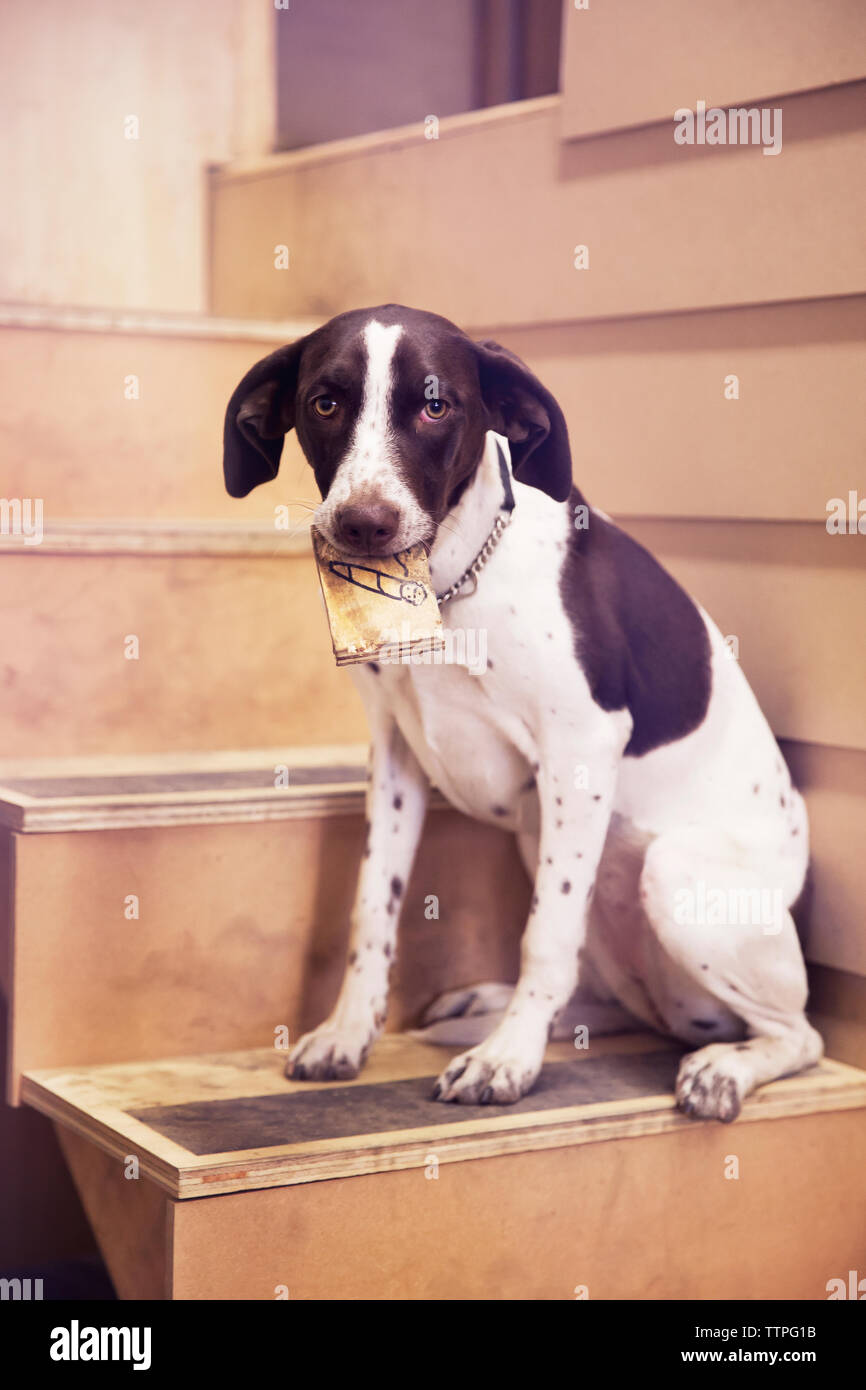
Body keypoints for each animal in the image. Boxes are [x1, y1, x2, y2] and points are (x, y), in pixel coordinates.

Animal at [222, 301, 817, 1117]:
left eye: (436, 406)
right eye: (325, 403)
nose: (363, 525)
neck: (447, 585)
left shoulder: (581, 752)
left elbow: (545, 935)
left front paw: (508, 1059)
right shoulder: (396, 759)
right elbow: (373, 907)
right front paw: (348, 1032)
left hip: (669, 877)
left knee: (799, 1035)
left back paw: (720, 1068)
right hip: (550, 849)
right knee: (606, 997)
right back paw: (489, 1007)